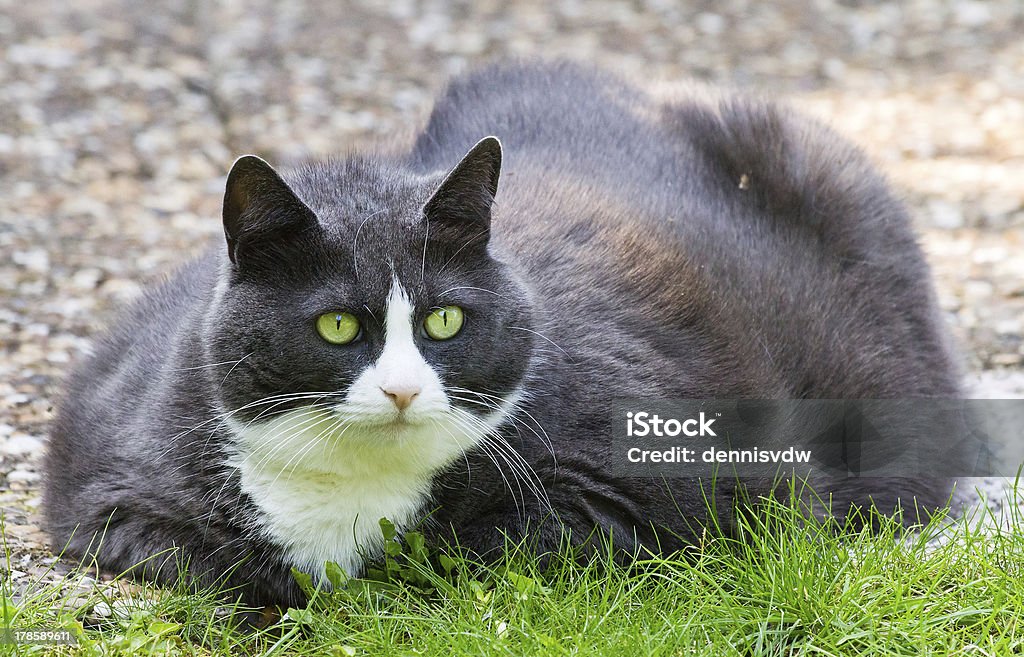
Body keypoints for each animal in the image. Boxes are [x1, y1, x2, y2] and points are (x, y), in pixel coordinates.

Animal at [44, 58, 962, 605]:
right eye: (337, 324)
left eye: (445, 317)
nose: (403, 389)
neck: (354, 485)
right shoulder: (105, 482)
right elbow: (202, 555)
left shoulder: (658, 476)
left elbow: (486, 547)